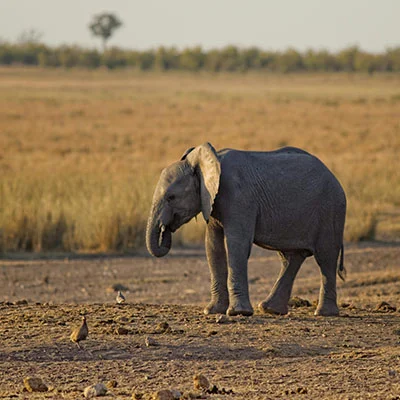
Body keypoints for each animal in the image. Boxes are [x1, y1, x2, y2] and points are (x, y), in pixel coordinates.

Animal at [145, 142, 346, 318]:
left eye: (171, 197)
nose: (165, 229)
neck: (206, 161)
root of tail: (335, 179)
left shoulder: (238, 197)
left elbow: (237, 245)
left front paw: (238, 313)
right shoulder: (212, 201)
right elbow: (213, 246)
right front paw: (212, 311)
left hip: (331, 210)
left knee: (325, 257)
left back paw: (323, 313)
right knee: (291, 257)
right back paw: (269, 309)